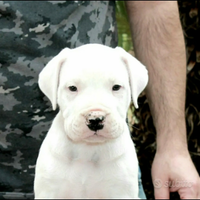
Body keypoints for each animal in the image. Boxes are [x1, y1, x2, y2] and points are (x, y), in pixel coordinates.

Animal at [33, 43, 148, 198]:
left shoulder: (121, 193)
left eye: (116, 87)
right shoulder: (49, 192)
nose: (95, 119)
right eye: (72, 88)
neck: (87, 150)